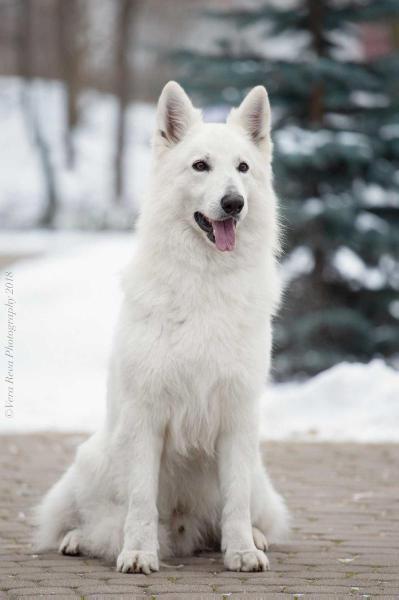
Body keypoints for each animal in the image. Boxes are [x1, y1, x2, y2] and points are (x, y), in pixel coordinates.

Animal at [36, 82, 290, 576]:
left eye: (243, 168)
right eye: (200, 165)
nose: (234, 203)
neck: (206, 281)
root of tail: (186, 529)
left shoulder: (237, 417)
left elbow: (235, 501)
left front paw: (241, 552)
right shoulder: (144, 417)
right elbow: (140, 501)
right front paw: (137, 553)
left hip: (258, 472)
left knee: (246, 509)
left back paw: (254, 537)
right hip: (90, 461)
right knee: (89, 522)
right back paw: (78, 540)